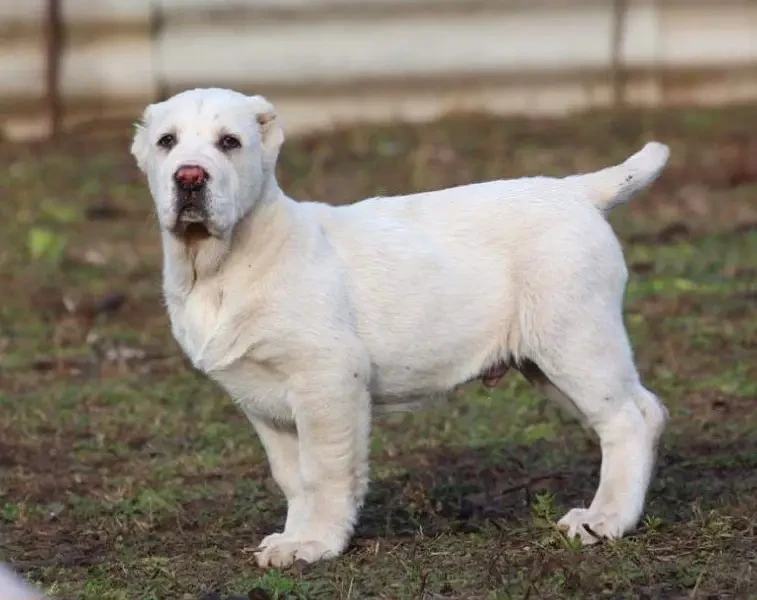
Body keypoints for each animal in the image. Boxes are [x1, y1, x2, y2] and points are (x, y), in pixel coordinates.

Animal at [130, 88, 668, 568]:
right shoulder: (265, 401)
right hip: (547, 361)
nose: (190, 177)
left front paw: (316, 543)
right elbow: (294, 478)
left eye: (230, 143)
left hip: (573, 340)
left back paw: (605, 520)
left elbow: (325, 471)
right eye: (166, 142)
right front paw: (292, 537)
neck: (217, 267)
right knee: (642, 410)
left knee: (628, 420)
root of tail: (575, 190)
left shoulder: (328, 380)